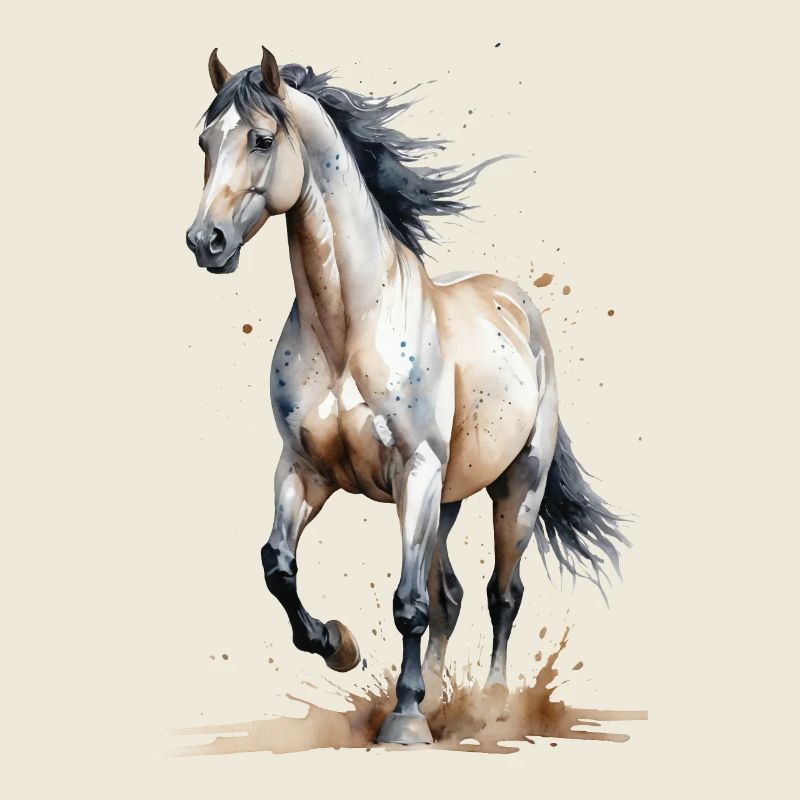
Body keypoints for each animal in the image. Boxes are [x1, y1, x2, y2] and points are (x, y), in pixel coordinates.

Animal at [186, 47, 628, 745]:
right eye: (204, 141)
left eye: (260, 139)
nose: (206, 242)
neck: (349, 328)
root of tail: (516, 304)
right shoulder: (305, 470)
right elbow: (278, 566)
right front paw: (339, 645)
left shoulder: (414, 470)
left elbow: (408, 604)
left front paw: (405, 720)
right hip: (445, 498)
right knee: (450, 597)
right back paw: (442, 697)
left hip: (516, 486)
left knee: (501, 593)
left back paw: (489, 705)